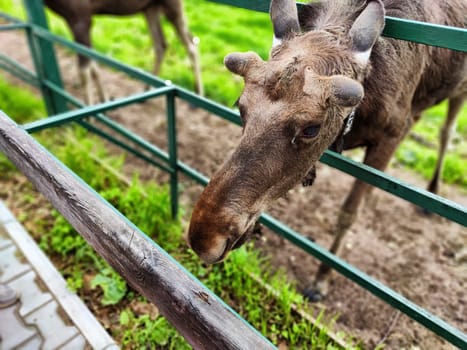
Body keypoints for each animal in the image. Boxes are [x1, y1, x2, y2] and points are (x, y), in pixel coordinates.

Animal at [44, 0, 203, 104]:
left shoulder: (80, 17)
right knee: (161, 44)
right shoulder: (75, 19)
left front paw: (89, 114)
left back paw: (199, 93)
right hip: (150, 7)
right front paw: (104, 99)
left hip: (171, 4)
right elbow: (92, 63)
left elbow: (84, 69)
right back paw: (146, 90)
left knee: (190, 44)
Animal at [188, 0, 466, 300]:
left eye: (311, 128)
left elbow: (348, 214)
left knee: (446, 131)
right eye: (240, 106)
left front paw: (321, 280)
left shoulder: (392, 133)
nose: (205, 238)